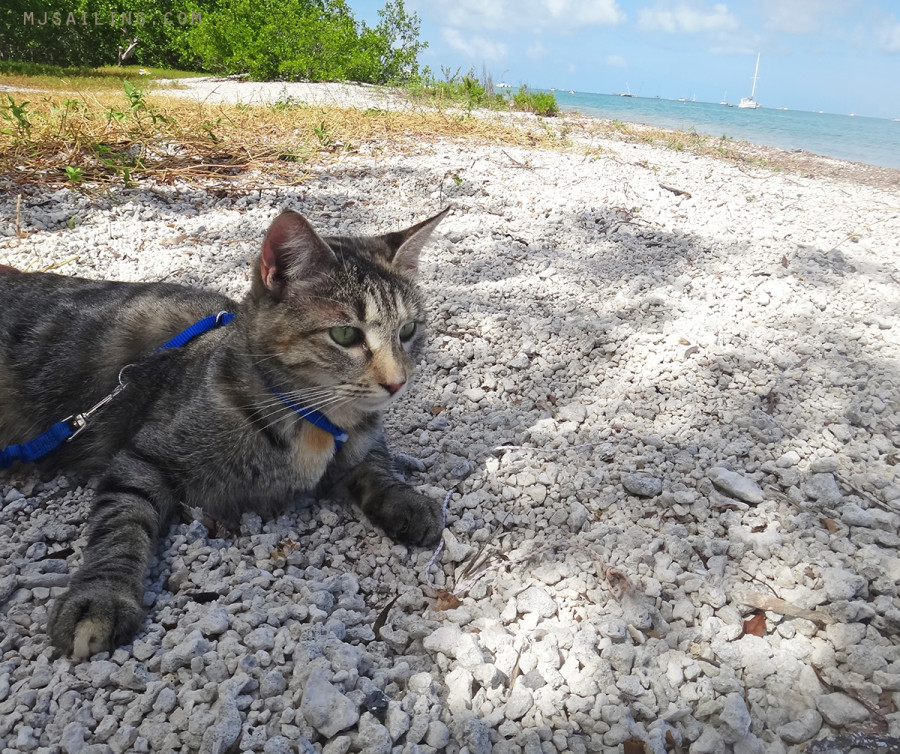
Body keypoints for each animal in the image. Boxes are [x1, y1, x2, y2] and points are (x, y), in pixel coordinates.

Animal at [0, 207, 448, 656]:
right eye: (345, 334)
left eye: (408, 331)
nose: (397, 382)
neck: (318, 421)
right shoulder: (141, 459)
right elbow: (121, 525)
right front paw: (101, 596)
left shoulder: (363, 439)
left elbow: (375, 463)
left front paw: (405, 499)